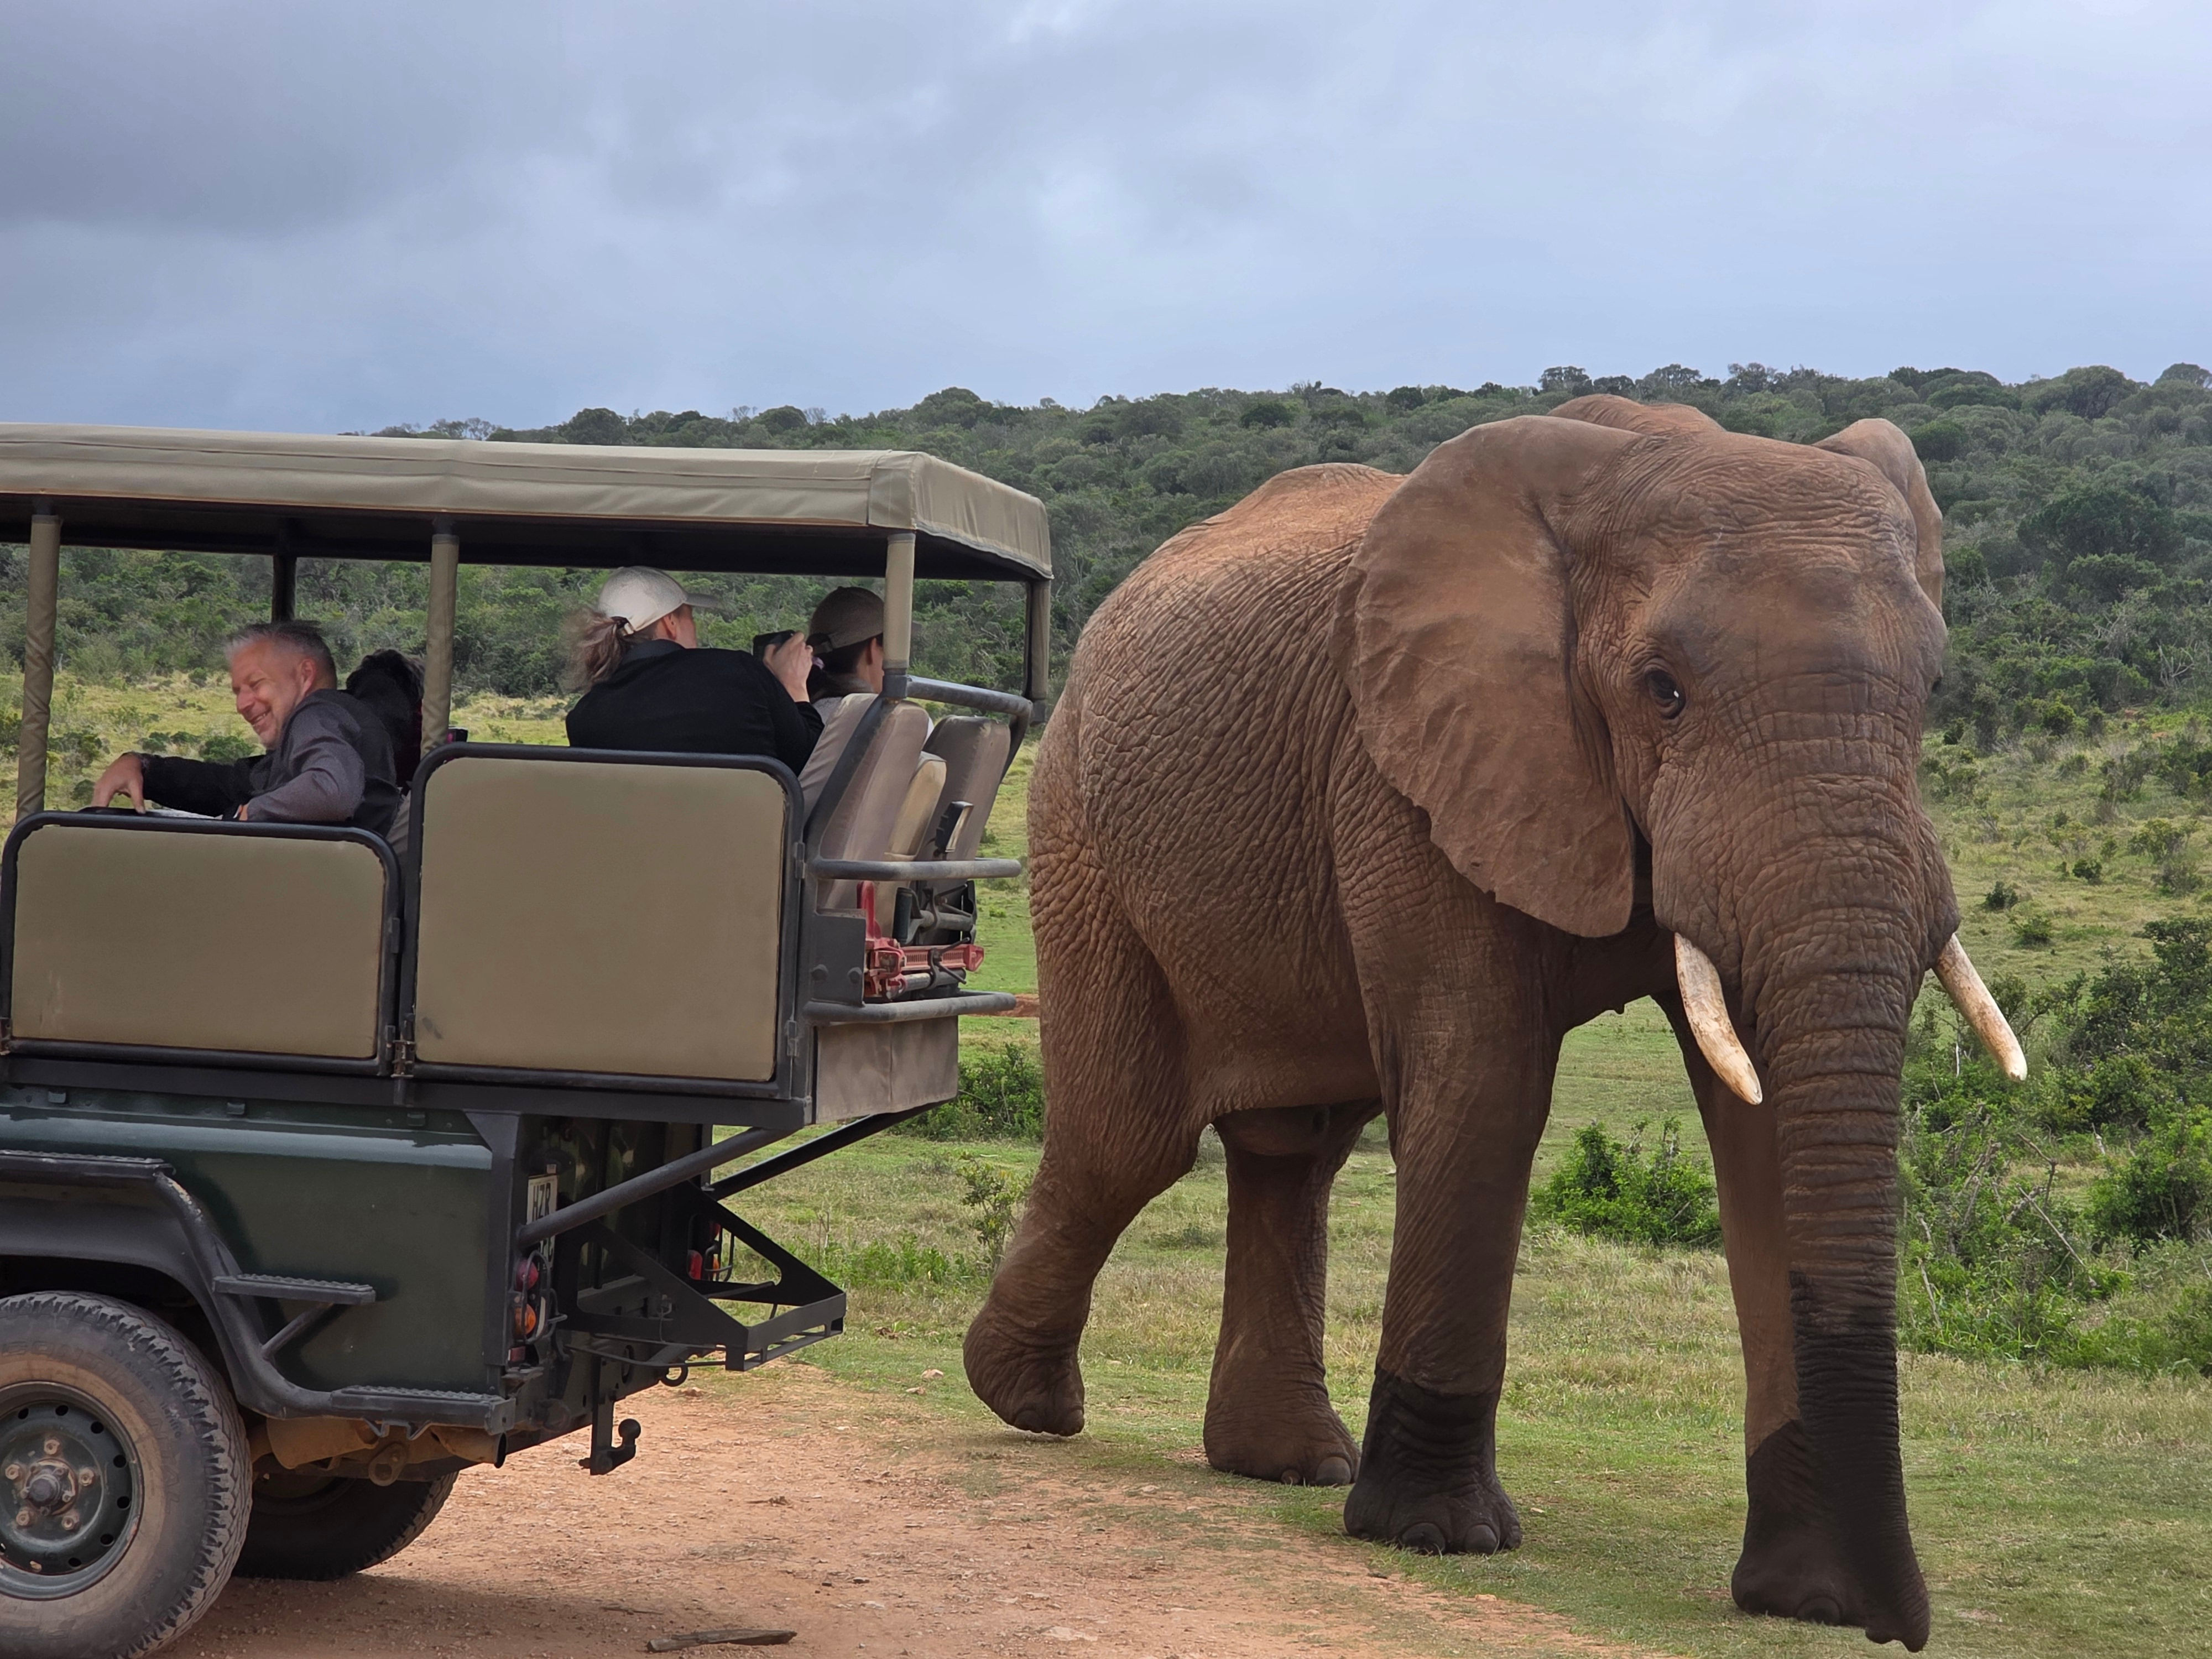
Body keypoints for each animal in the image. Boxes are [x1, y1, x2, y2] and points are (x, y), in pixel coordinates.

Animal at [961, 395, 2024, 1651]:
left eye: (1932, 692)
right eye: (1661, 688)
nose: (1897, 1623)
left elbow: (1761, 1130)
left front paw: (1803, 1599)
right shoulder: (1409, 767)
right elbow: (1484, 1085)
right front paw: (1434, 1535)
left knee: (1291, 1151)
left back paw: (1285, 1464)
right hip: (1077, 821)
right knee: (1128, 1140)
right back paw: (1026, 1403)